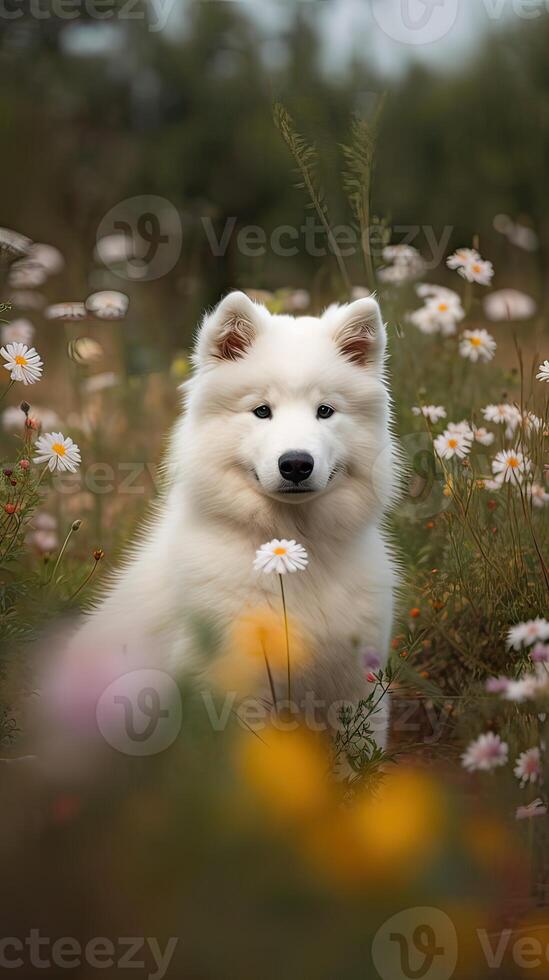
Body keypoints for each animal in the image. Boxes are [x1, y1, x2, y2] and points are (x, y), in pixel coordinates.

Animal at [76, 290, 398, 744]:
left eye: (325, 411)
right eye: (262, 411)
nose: (295, 464)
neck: (292, 553)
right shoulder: (229, 689)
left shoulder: (354, 684)